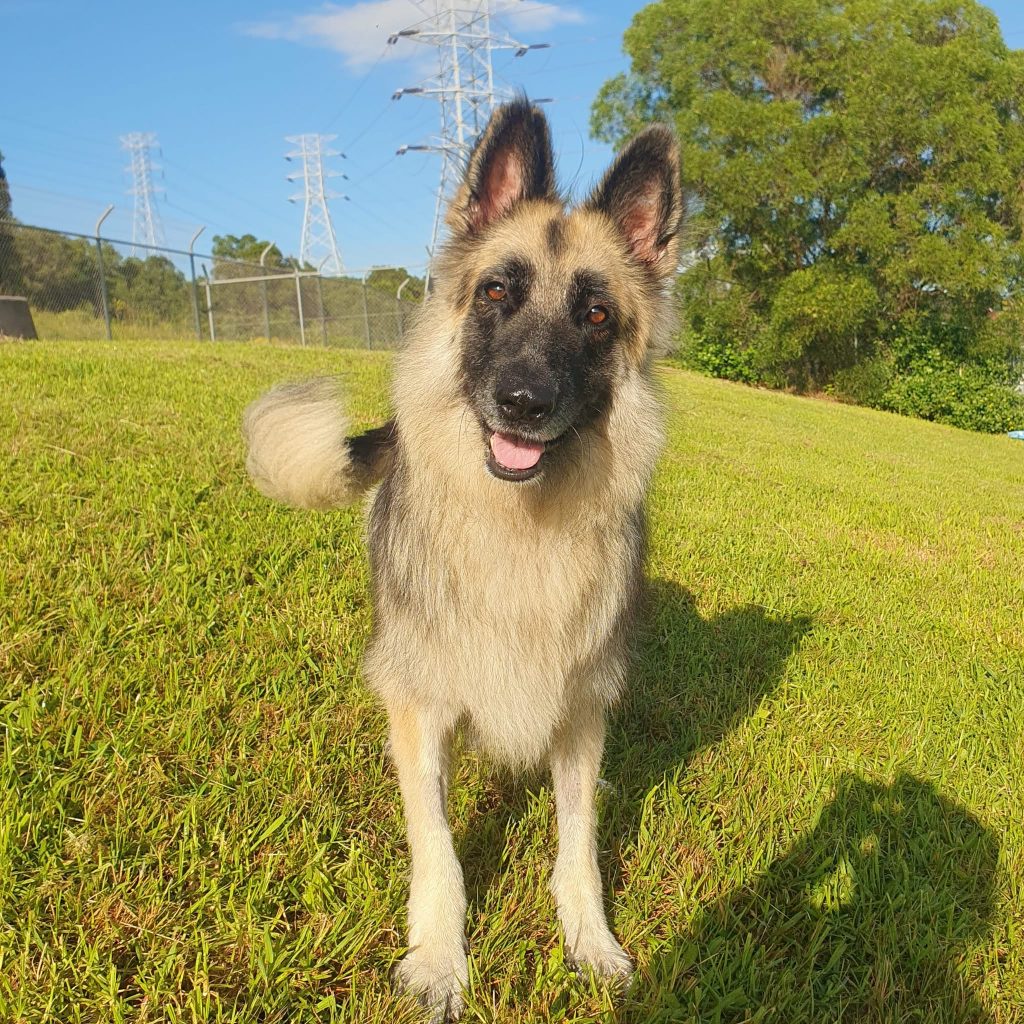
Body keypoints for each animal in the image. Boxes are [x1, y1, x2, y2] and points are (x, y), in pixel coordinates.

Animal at [242, 99, 682, 1021]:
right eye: (495, 293)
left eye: (596, 316)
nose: (522, 402)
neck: (520, 530)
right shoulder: (420, 711)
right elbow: (438, 845)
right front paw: (440, 961)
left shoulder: (580, 717)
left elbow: (579, 843)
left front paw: (591, 942)